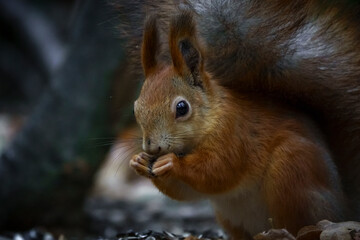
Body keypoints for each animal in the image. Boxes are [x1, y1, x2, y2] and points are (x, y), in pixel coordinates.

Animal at [114, 0, 360, 221]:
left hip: (292, 173)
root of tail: (344, 208)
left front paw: (172, 163)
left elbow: (218, 170)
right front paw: (138, 161)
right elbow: (186, 192)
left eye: (182, 108)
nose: (151, 147)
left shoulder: (235, 134)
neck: (211, 117)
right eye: (136, 108)